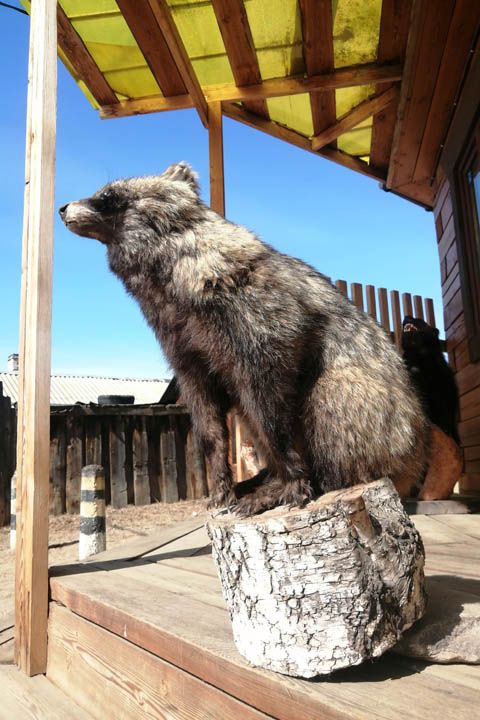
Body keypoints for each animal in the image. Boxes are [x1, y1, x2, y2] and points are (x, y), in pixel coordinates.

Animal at [58, 164, 430, 516]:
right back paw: (267, 476)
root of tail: (411, 457)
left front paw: (294, 480)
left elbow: (271, 410)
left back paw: (304, 477)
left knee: (325, 409)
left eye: (107, 196)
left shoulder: (261, 323)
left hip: (366, 409)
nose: (62, 208)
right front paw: (222, 483)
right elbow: (207, 422)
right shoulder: (183, 349)